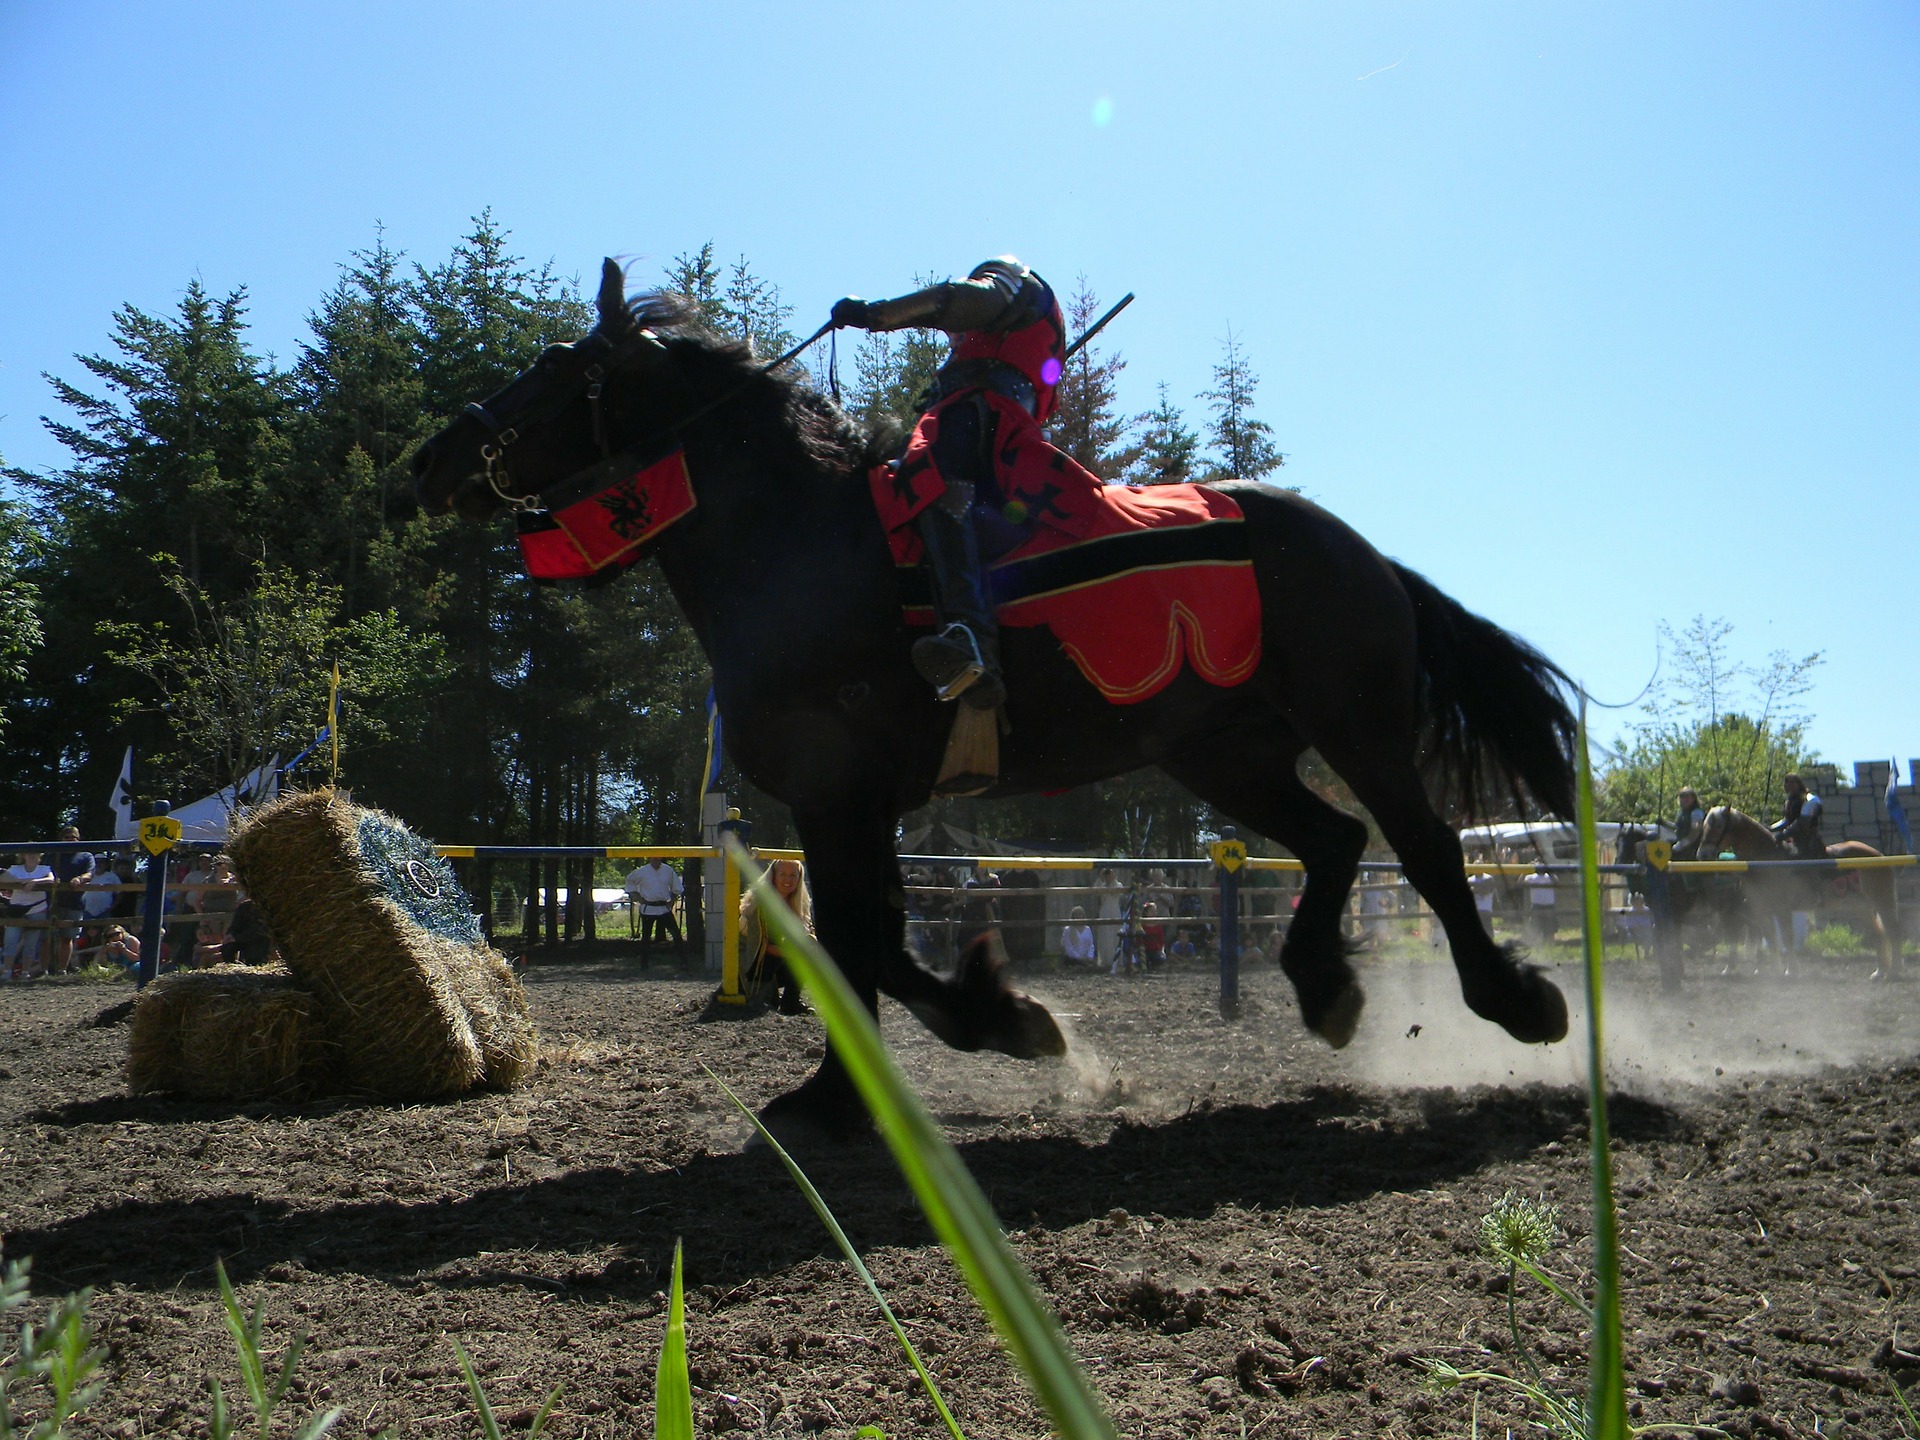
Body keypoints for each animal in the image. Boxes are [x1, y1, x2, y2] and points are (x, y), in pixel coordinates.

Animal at [411, 259, 1581, 1138]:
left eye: (557, 368)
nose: (432, 456)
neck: (805, 548)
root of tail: (1358, 551)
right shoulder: (856, 808)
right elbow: (873, 943)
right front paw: (980, 1036)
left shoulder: (839, 798)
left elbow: (861, 945)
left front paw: (898, 1071)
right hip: (1224, 752)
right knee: (1336, 841)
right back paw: (1326, 990)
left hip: (1356, 721)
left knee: (1423, 847)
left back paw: (1516, 1001)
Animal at [1694, 805, 1903, 977]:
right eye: (1704, 826)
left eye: (1718, 826)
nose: (1703, 854)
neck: (1767, 859)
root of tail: (1879, 856)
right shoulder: (1762, 911)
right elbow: (1771, 938)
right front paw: (1776, 971)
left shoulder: (1782, 910)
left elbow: (1787, 939)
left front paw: (1791, 971)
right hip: (1861, 907)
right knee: (1879, 934)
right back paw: (1880, 972)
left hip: (1883, 902)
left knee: (1893, 932)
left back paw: (1893, 971)